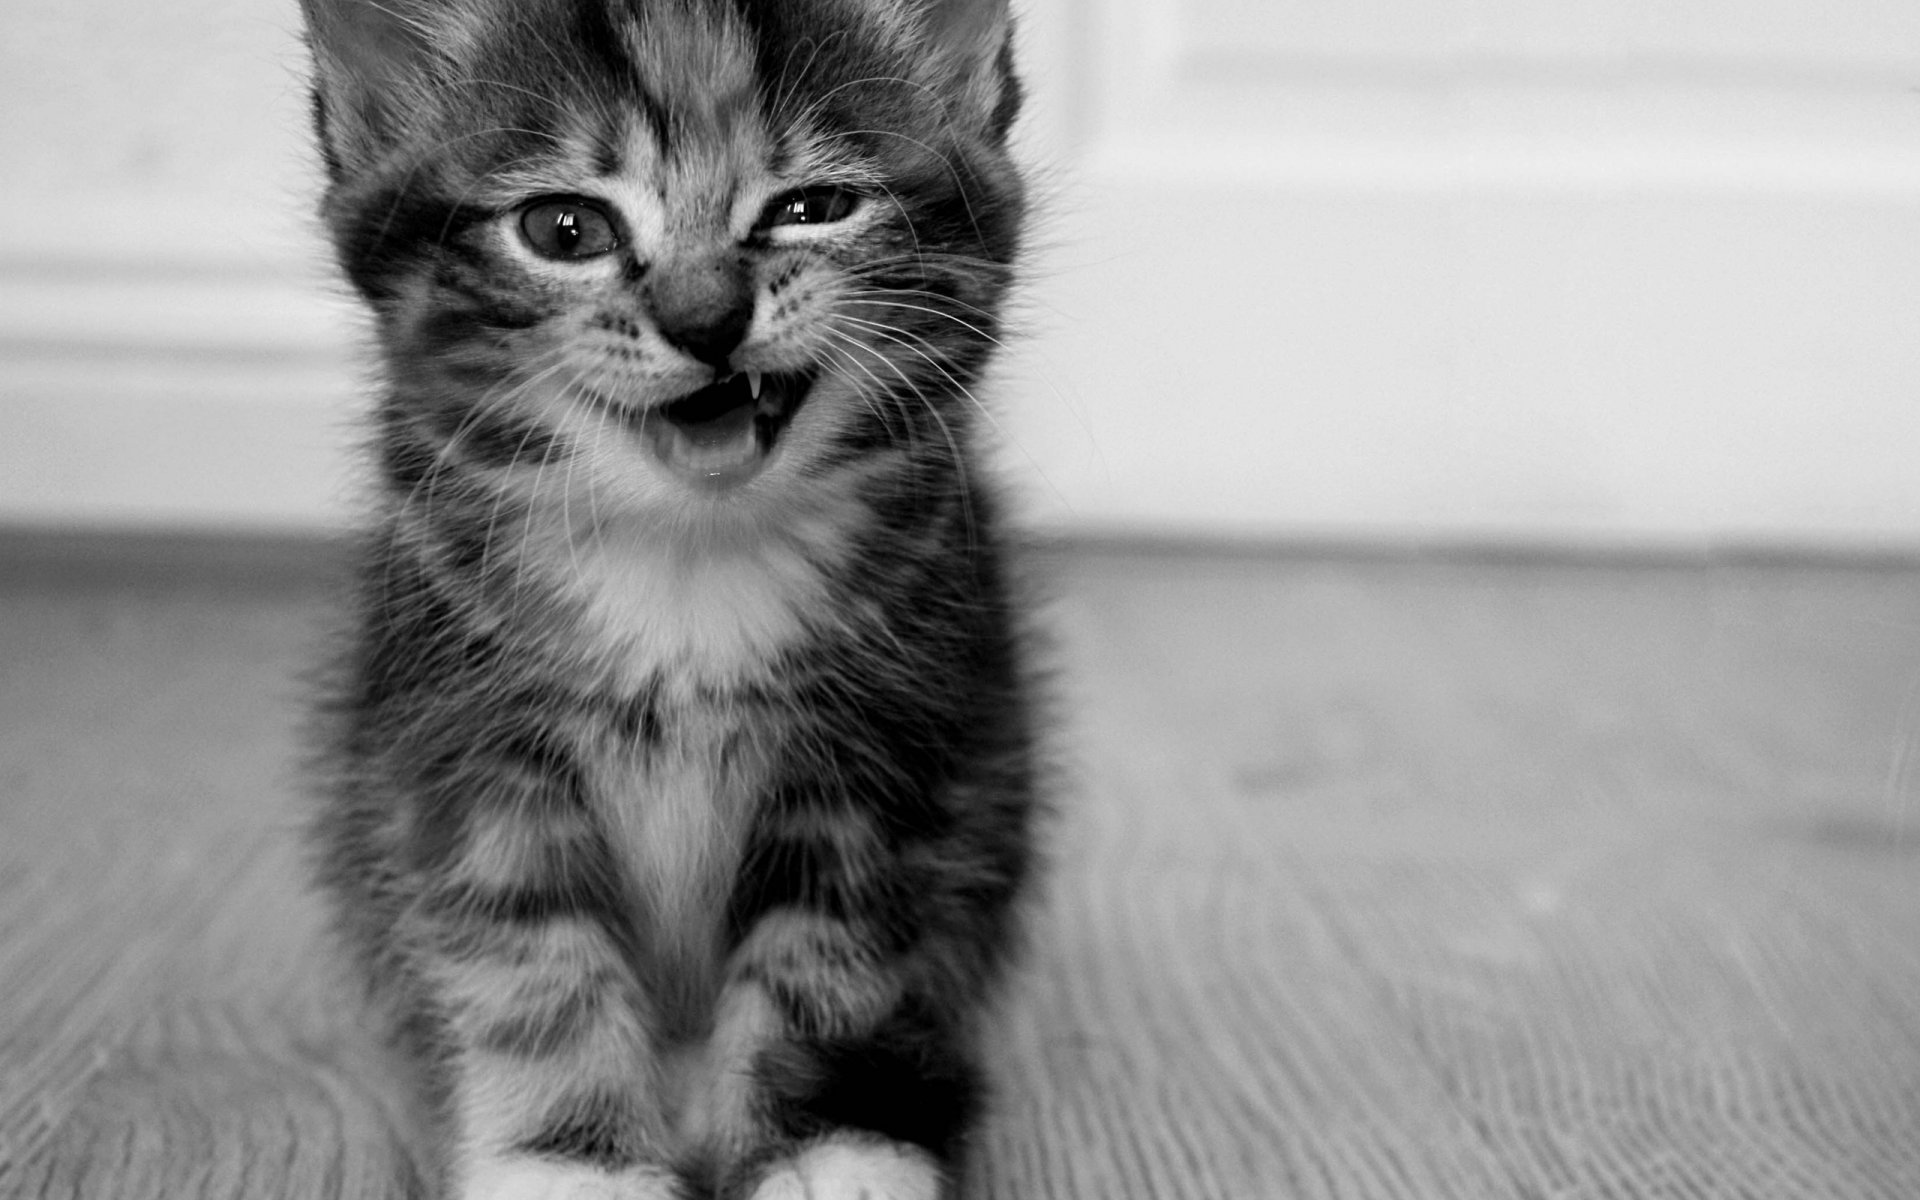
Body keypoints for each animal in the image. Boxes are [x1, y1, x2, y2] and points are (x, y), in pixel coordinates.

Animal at [301, 2, 1044, 1198]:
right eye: (564, 230)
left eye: (812, 208)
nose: (707, 318)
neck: (687, 554)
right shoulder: (463, 744)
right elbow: (531, 958)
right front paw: (576, 1163)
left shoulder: (890, 749)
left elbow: (825, 954)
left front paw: (820, 1148)